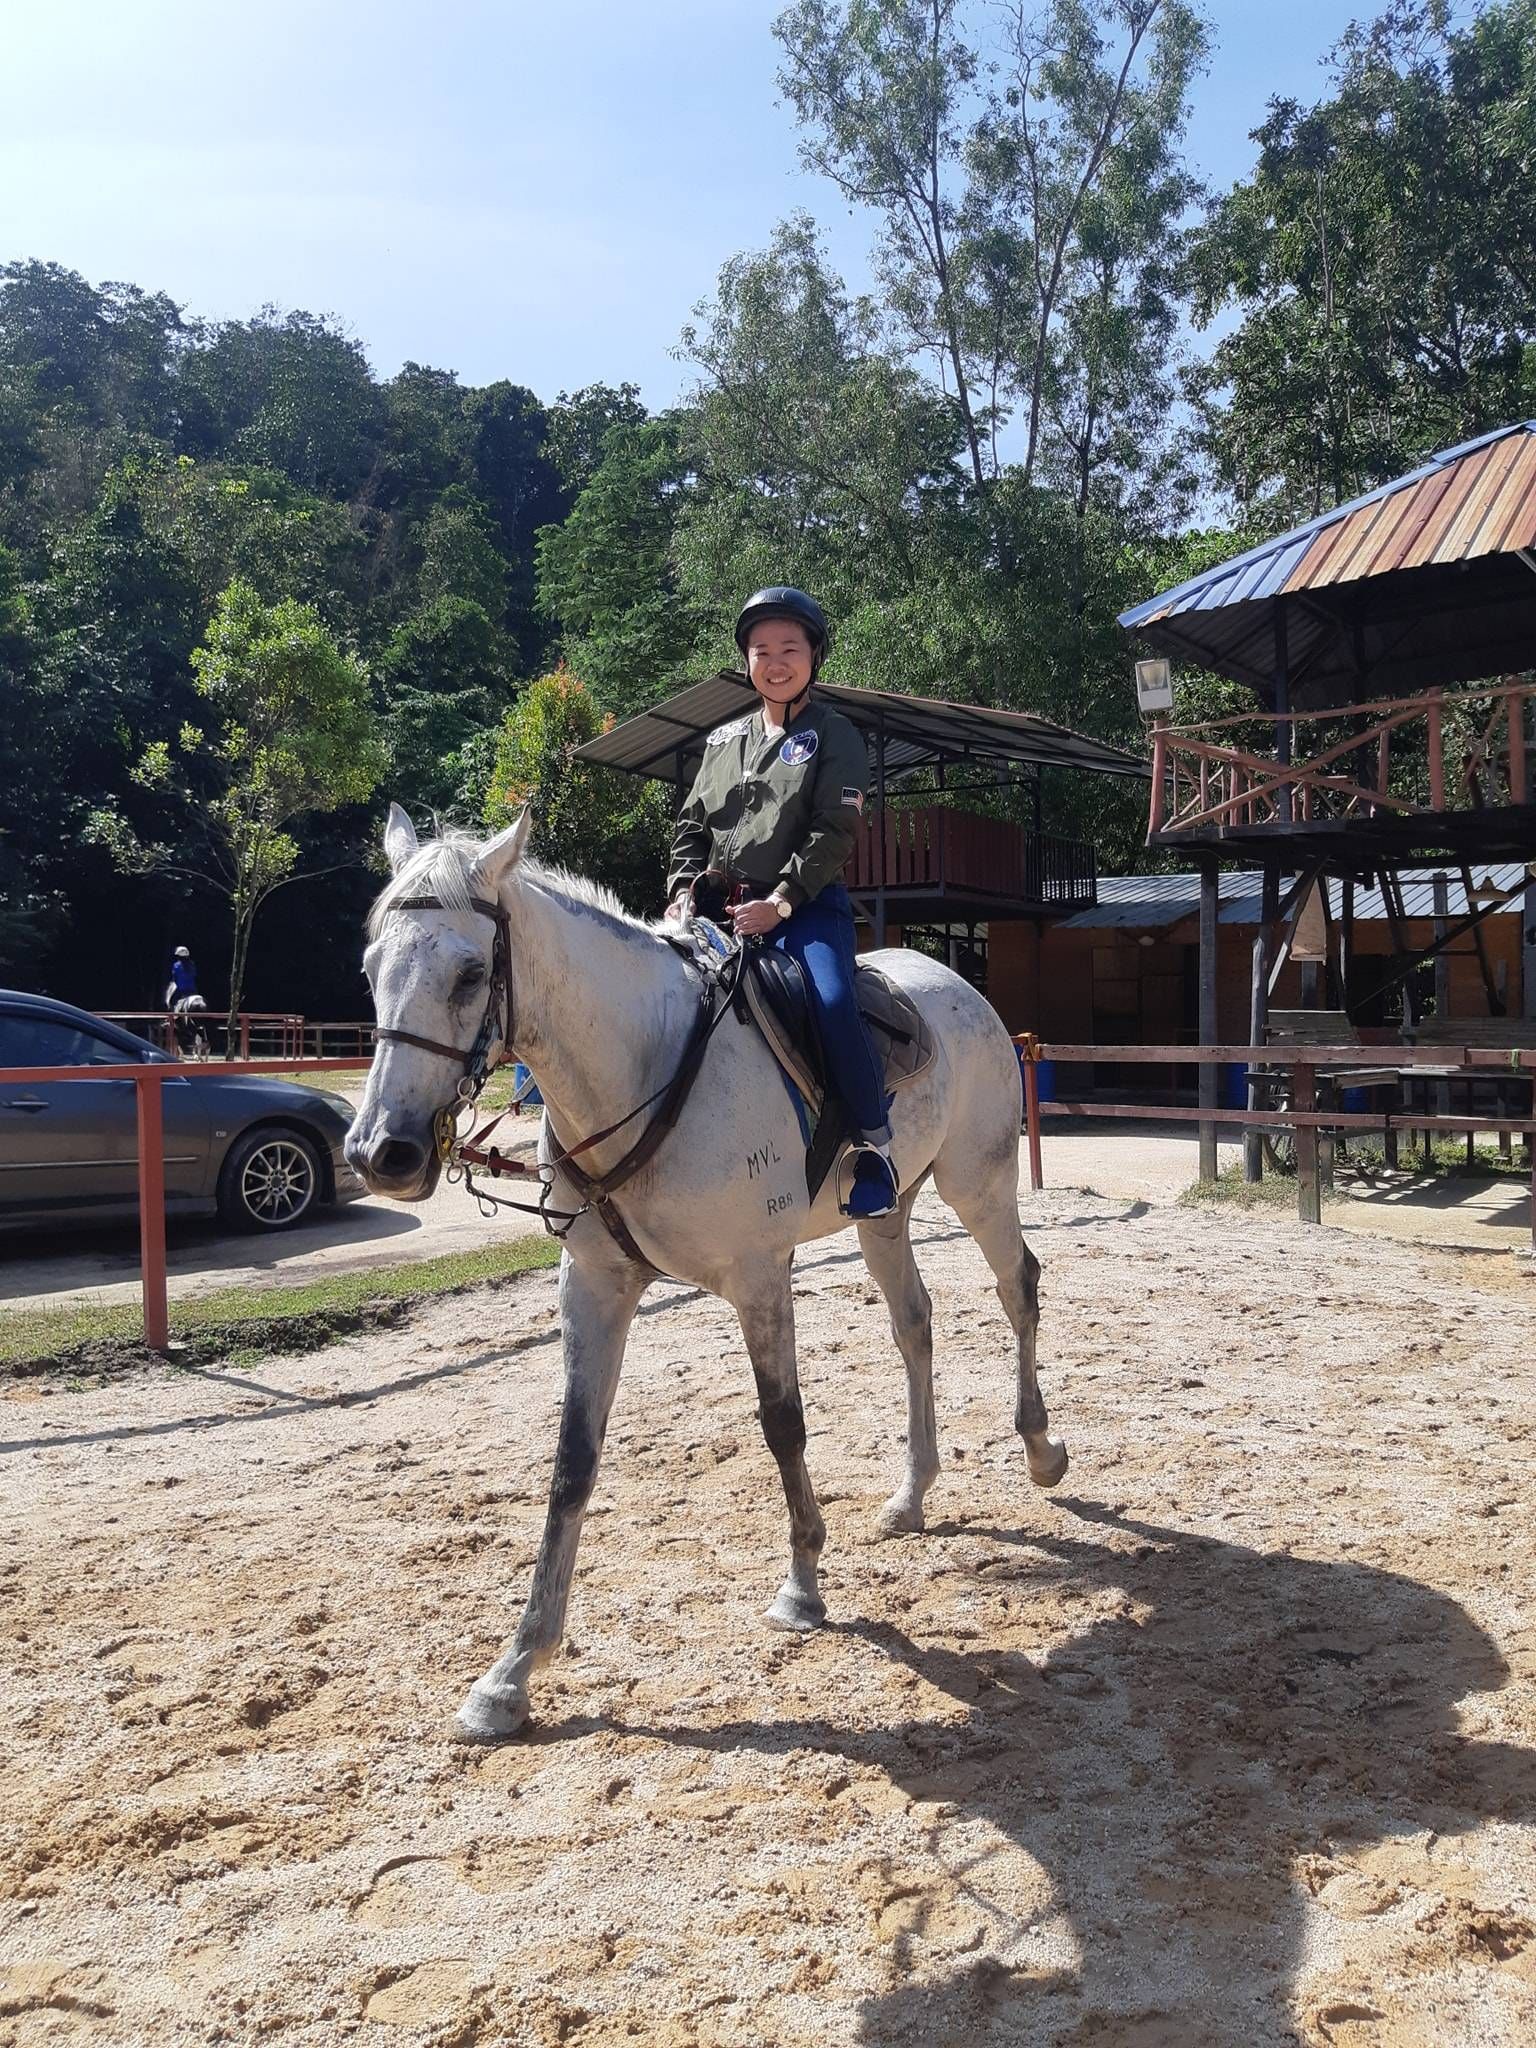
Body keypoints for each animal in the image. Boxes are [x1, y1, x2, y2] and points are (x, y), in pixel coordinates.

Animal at [345, 803, 1067, 1743]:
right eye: (370, 970)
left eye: (471, 973)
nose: (382, 1153)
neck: (646, 1068)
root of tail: (955, 982)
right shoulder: (594, 1287)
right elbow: (572, 1461)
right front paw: (512, 1672)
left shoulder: (759, 1278)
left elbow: (784, 1427)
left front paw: (802, 1588)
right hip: (887, 1215)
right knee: (915, 1324)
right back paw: (911, 1495)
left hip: (978, 1183)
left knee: (1018, 1288)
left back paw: (1042, 1449)